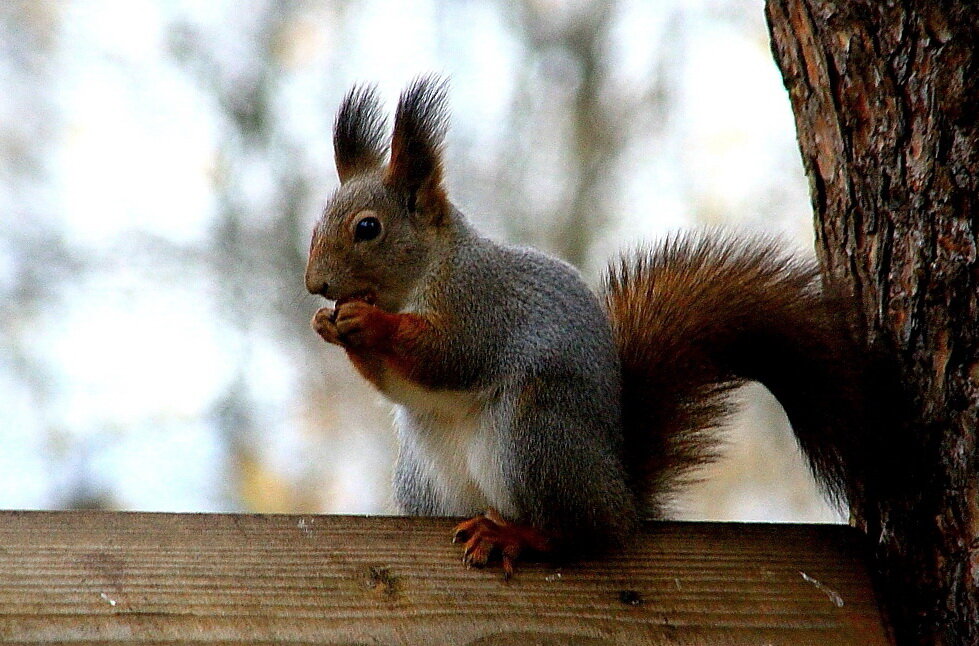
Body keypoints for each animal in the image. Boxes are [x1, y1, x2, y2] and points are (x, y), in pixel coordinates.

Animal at [306, 76, 896, 576]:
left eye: (368, 228)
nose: (315, 284)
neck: (422, 275)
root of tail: (621, 498)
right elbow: (398, 382)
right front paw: (328, 325)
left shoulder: (481, 305)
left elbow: (448, 356)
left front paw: (368, 321)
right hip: (426, 477)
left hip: (535, 434)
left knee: (577, 534)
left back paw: (516, 536)